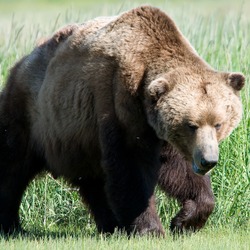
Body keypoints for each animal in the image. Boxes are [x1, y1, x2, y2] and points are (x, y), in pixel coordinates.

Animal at [0, 6, 244, 236]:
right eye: (191, 125)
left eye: (218, 123)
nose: (208, 161)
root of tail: (22, 61)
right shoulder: (120, 103)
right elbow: (131, 166)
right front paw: (150, 229)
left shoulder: (160, 132)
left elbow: (179, 170)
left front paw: (185, 221)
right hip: (32, 115)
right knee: (12, 167)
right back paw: (12, 226)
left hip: (79, 139)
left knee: (93, 182)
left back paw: (110, 225)